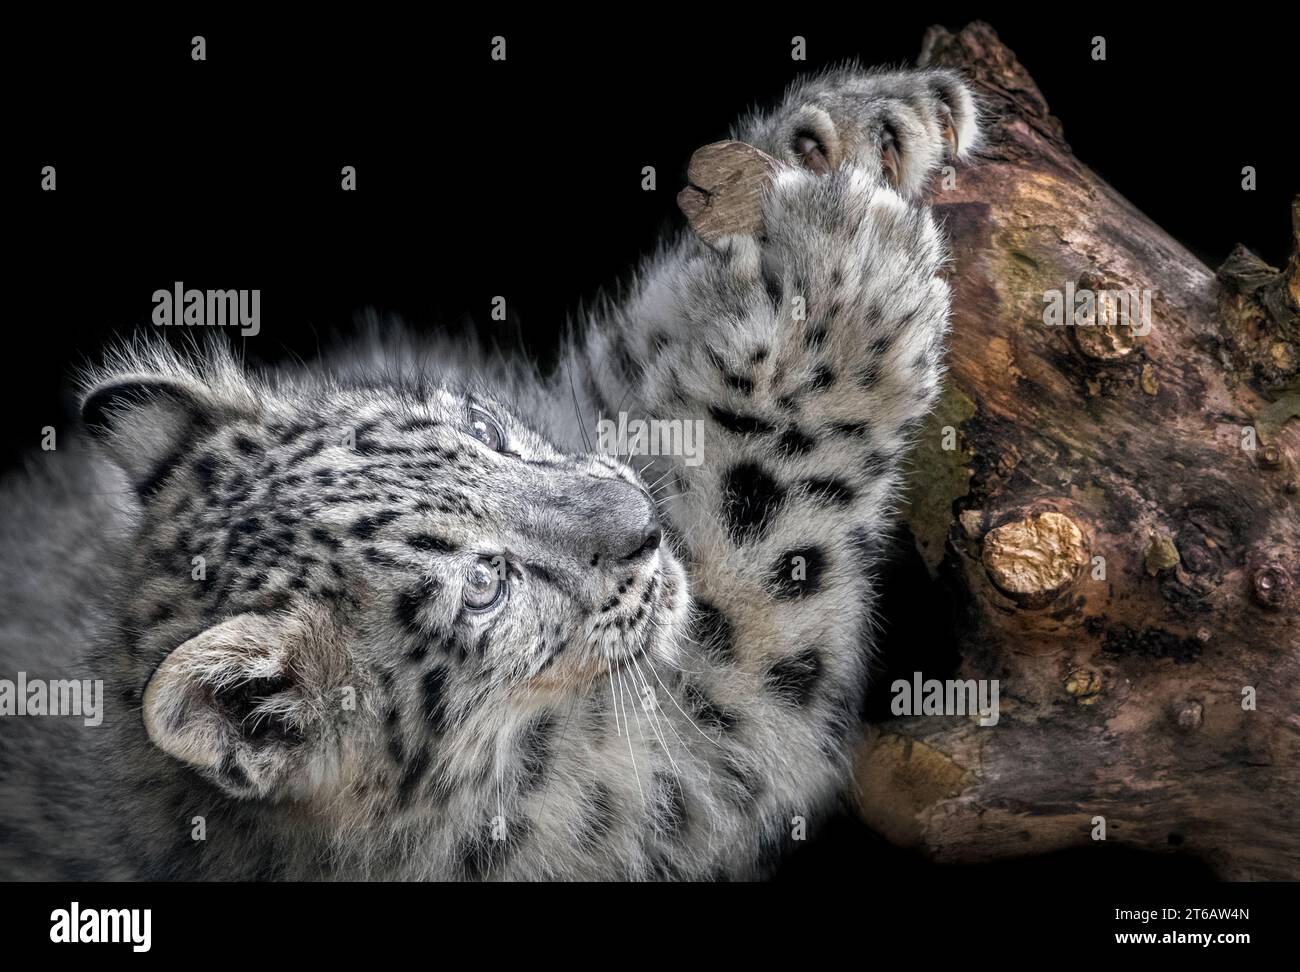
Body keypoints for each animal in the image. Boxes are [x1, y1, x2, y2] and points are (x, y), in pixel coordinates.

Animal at [0, 63, 979, 880]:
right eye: (484, 586)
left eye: (479, 425)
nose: (640, 521)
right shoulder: (681, 761)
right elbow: (760, 549)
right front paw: (846, 280)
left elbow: (644, 362)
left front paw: (855, 130)